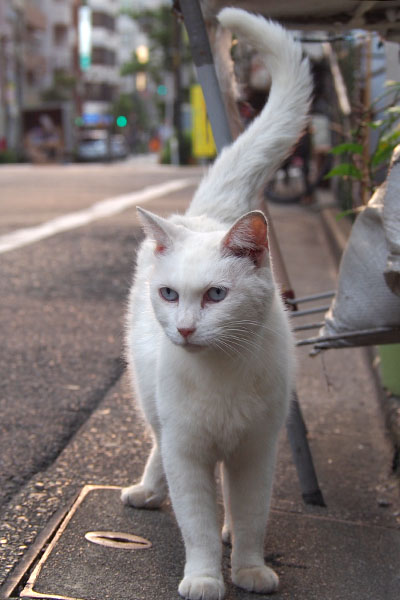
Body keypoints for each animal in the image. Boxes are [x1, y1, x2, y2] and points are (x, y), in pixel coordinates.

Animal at [122, 7, 312, 596]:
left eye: (216, 295)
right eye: (169, 294)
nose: (183, 329)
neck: (221, 374)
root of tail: (210, 214)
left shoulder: (256, 452)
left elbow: (250, 516)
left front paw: (249, 568)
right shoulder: (189, 452)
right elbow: (196, 524)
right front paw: (205, 577)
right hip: (151, 399)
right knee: (158, 444)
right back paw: (148, 490)